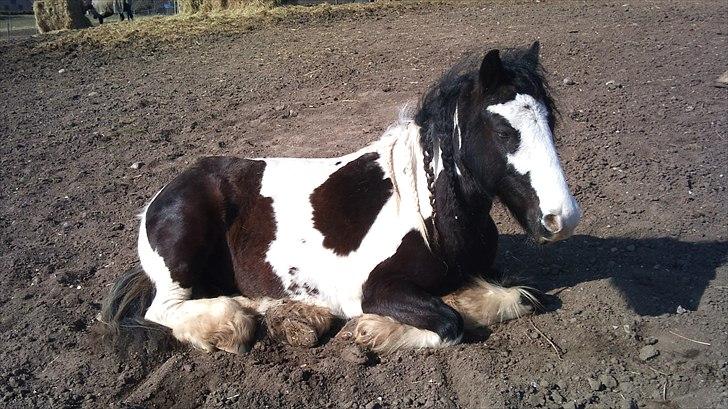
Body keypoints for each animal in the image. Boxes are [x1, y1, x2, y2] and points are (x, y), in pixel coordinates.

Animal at [101, 42, 580, 354]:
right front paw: (375, 330)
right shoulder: (380, 287)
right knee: (162, 309)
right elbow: (450, 324)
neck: (431, 216)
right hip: (181, 256)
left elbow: (524, 295)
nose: (562, 218)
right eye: (503, 130)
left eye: (551, 121)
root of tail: (160, 198)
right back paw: (231, 324)